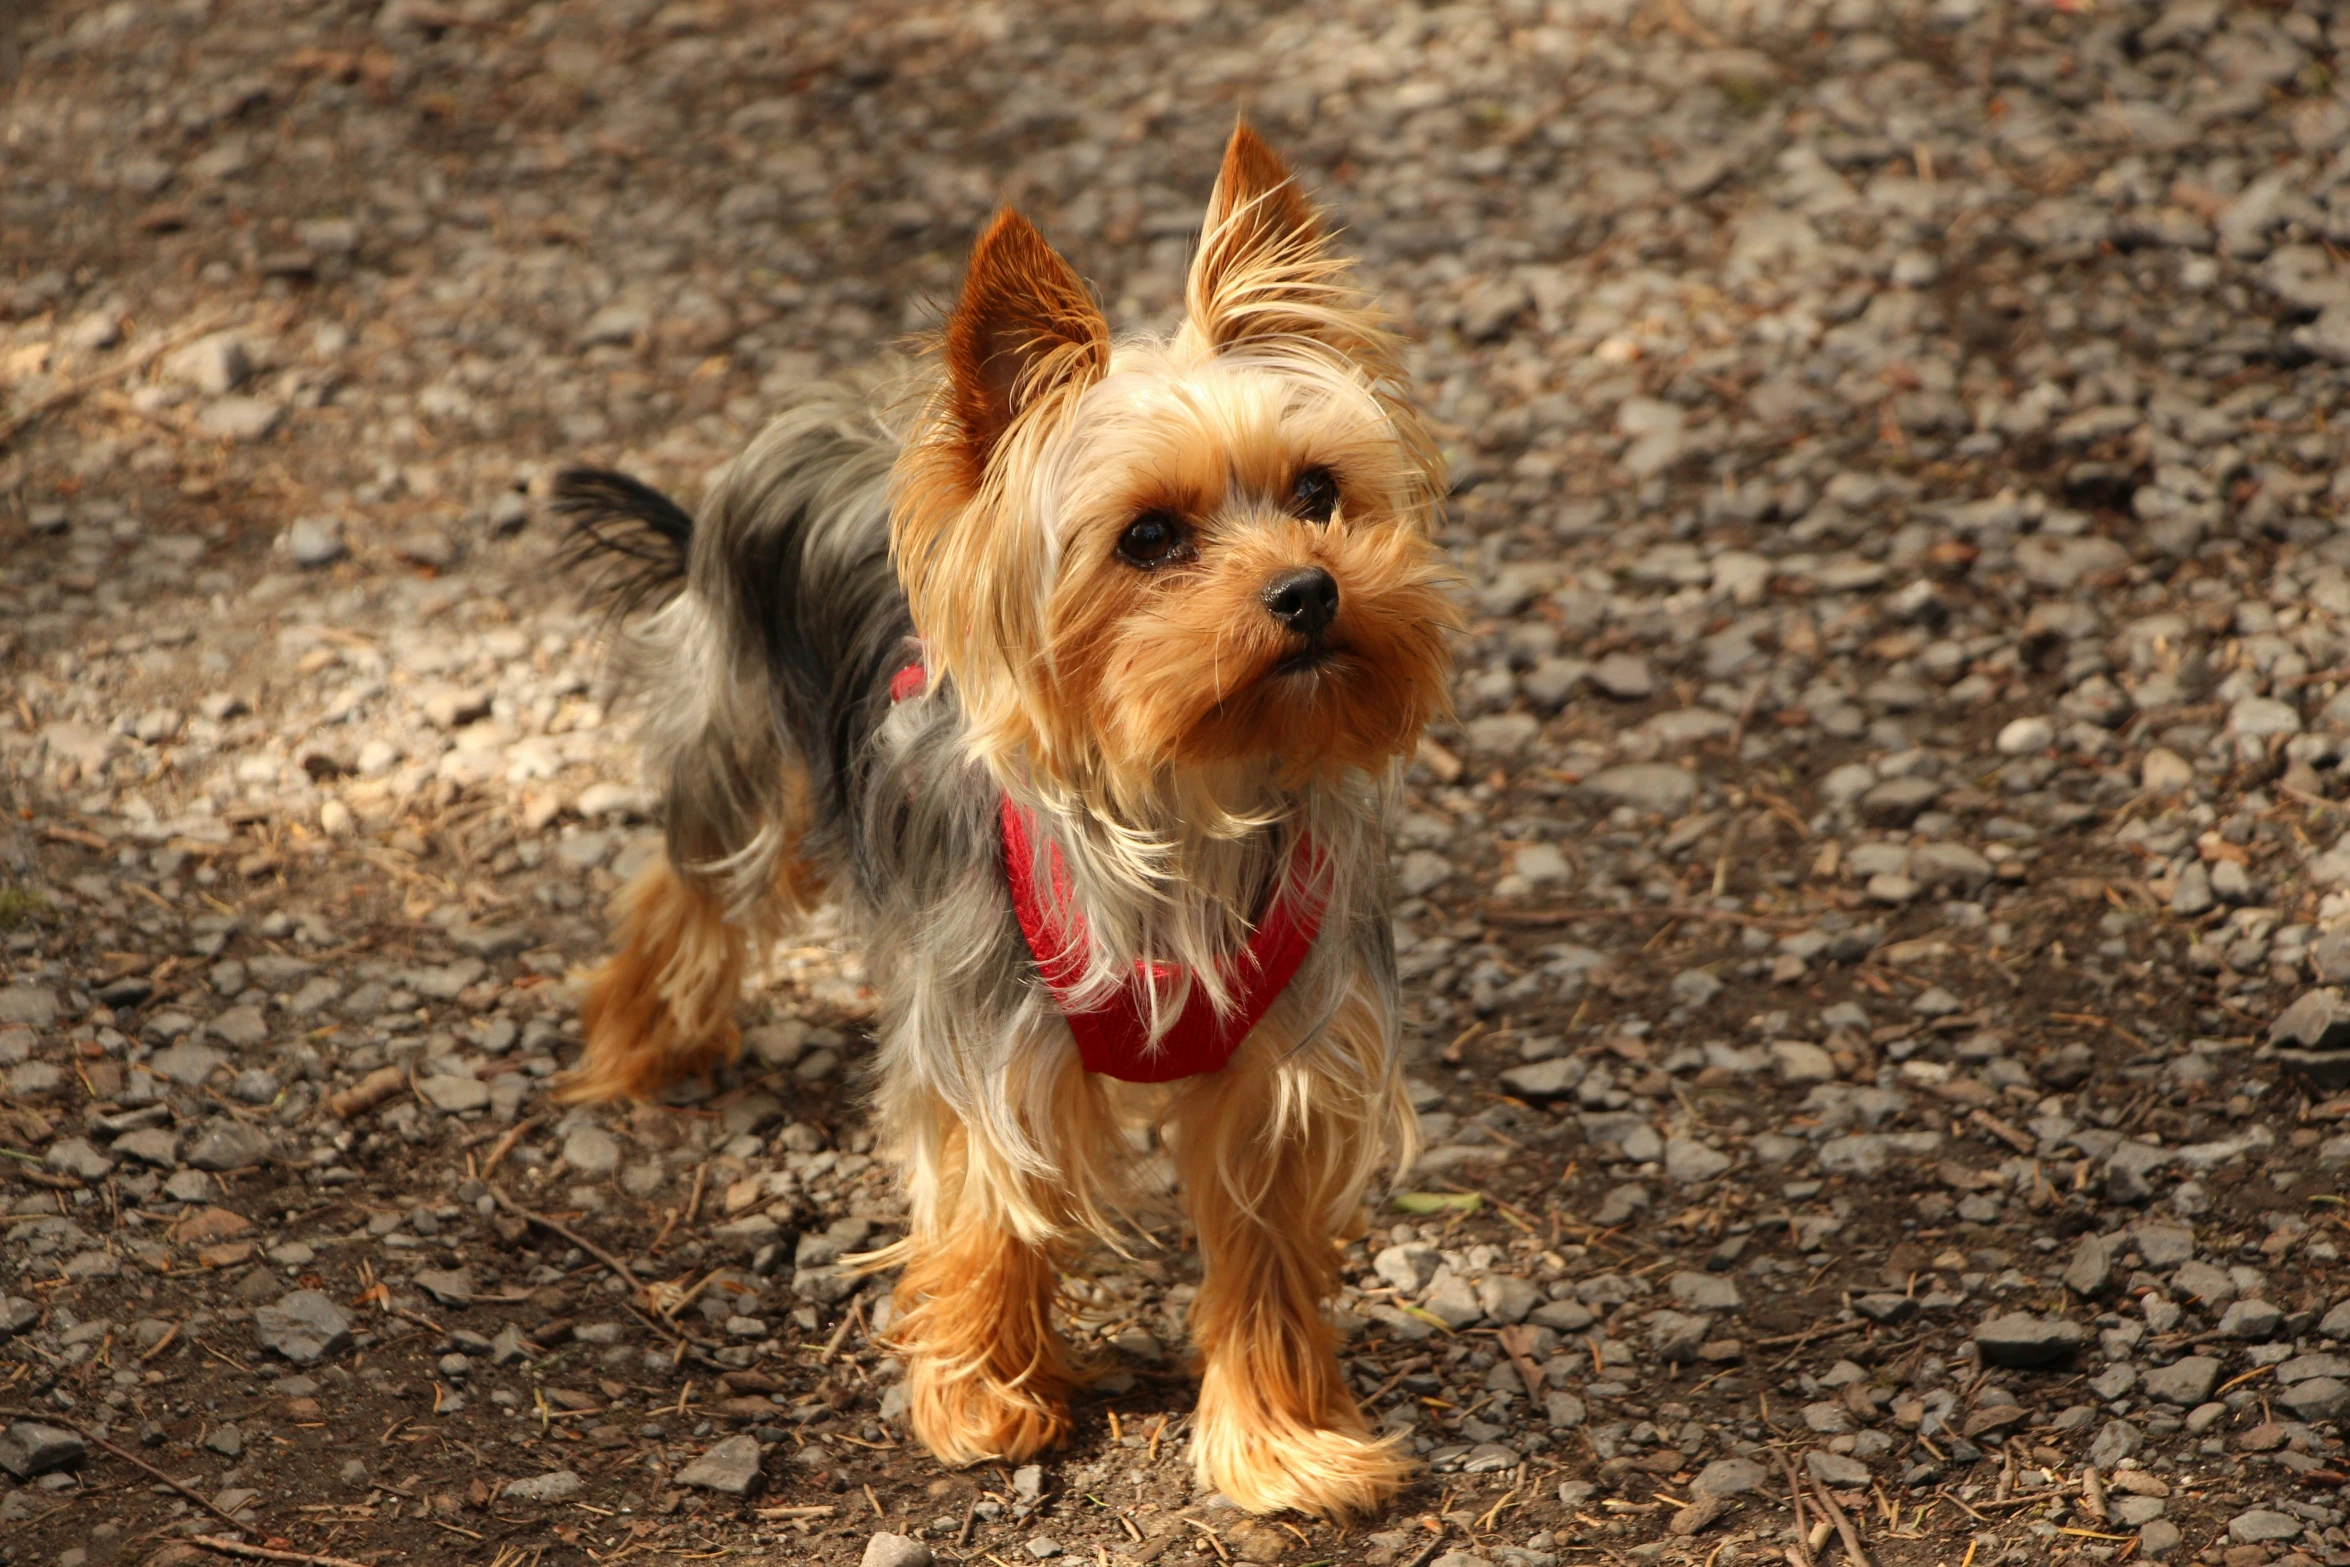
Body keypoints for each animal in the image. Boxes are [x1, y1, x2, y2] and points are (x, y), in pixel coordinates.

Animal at [559, 125, 1457, 1522]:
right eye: (1148, 536)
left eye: (1318, 491)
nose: (1309, 590)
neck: (1185, 803)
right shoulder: (988, 1037)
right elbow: (991, 1205)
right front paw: (982, 1396)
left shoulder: (1286, 1068)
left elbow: (1262, 1257)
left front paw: (1281, 1441)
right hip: (741, 744)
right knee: (683, 888)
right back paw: (640, 1044)